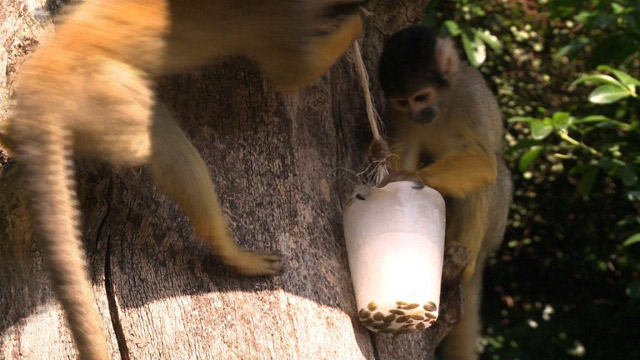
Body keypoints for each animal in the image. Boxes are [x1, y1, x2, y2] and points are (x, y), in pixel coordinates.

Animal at [2, 1, 364, 358]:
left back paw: (9, 136)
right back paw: (231, 254)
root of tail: (47, 73)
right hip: (96, 89)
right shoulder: (288, 22)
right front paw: (355, 26)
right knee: (150, 137)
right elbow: (291, 74)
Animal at [378, 26, 512, 358]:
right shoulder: (397, 114)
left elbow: (484, 163)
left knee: (494, 176)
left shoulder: (469, 98)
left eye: (421, 97)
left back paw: (462, 258)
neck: (442, 103)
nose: (418, 113)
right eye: (404, 102)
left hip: (494, 231)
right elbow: (404, 151)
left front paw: (411, 176)